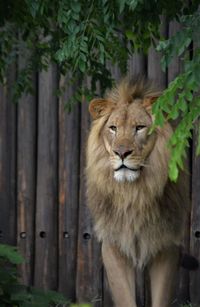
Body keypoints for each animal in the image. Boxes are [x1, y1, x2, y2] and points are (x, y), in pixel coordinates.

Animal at [86, 76, 192, 307]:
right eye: (113, 128)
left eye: (140, 128)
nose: (121, 153)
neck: (134, 193)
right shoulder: (114, 244)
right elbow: (125, 298)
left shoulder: (166, 244)